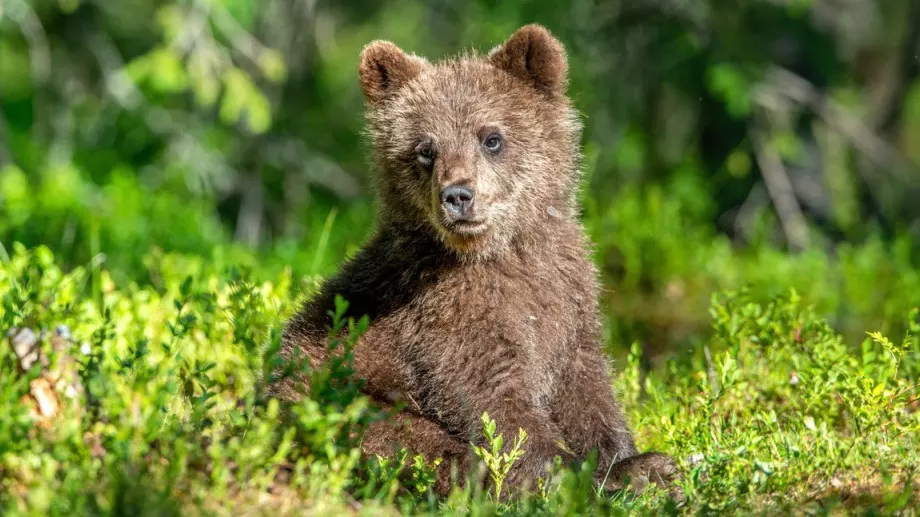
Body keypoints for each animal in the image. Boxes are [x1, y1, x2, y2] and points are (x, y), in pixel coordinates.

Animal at [270, 23, 680, 496]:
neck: (496, 252)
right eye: (425, 149)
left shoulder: (566, 294)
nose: (458, 195)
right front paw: (590, 475)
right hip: (332, 398)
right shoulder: (446, 316)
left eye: (492, 138)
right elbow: (494, 404)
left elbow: (585, 387)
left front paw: (631, 459)